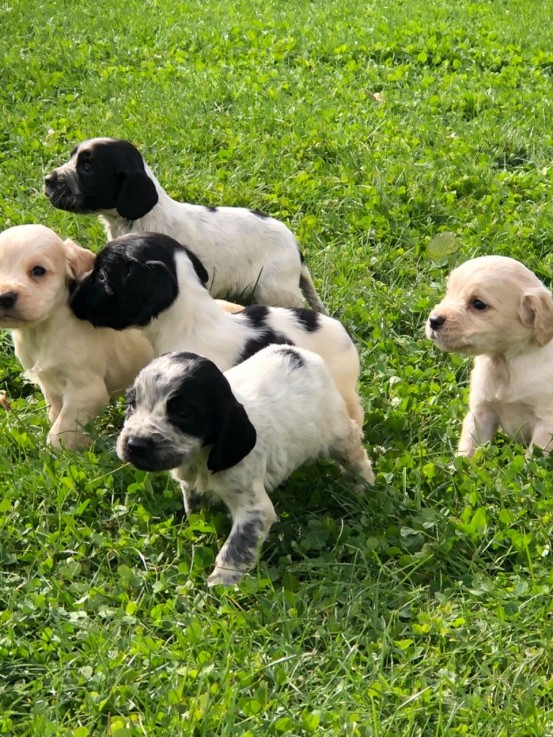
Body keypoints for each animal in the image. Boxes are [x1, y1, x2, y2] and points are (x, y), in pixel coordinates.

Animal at [0, 223, 153, 448]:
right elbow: (56, 414)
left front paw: (54, 451)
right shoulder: (50, 386)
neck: (43, 331)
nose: (4, 297)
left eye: (38, 271)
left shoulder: (87, 391)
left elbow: (60, 432)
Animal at [118, 344, 374, 588]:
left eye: (183, 413)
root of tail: (302, 355)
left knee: (355, 454)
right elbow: (194, 506)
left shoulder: (253, 510)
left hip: (337, 432)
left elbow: (236, 547)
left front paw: (221, 581)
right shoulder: (190, 483)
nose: (134, 444)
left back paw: (363, 486)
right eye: (132, 404)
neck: (202, 456)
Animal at [426, 256, 553, 458]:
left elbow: (533, 458)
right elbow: (468, 447)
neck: (505, 363)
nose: (433, 320)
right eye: (449, 292)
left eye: (478, 304)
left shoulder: (546, 423)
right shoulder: (480, 413)